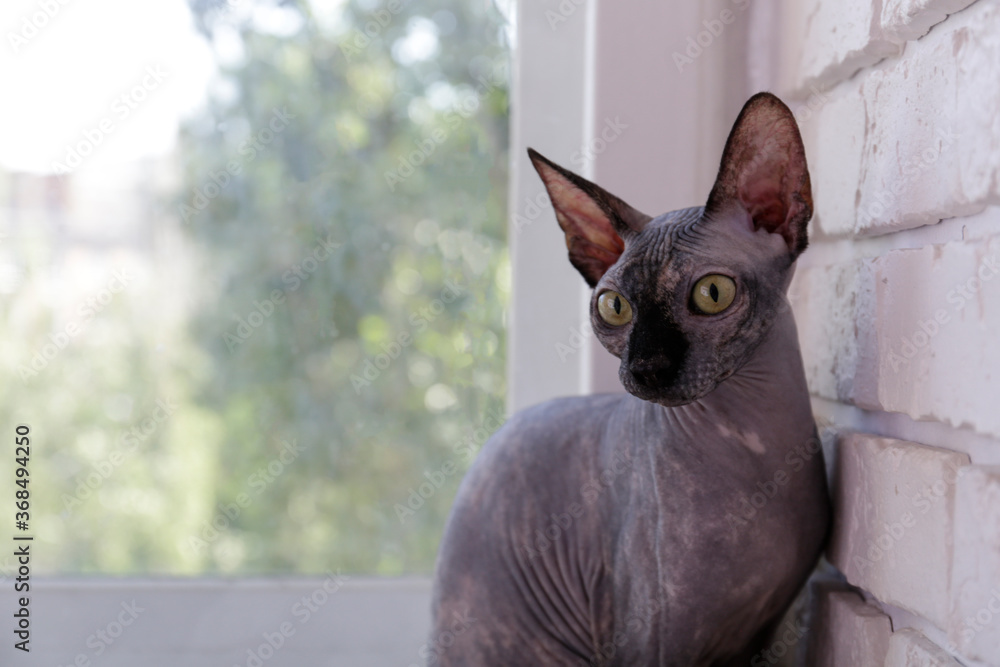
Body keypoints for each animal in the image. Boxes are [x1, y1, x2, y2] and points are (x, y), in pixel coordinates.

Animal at [428, 92, 828, 667]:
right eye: (614, 307)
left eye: (712, 294)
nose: (646, 366)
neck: (755, 447)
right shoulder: (650, 641)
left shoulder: (761, 633)